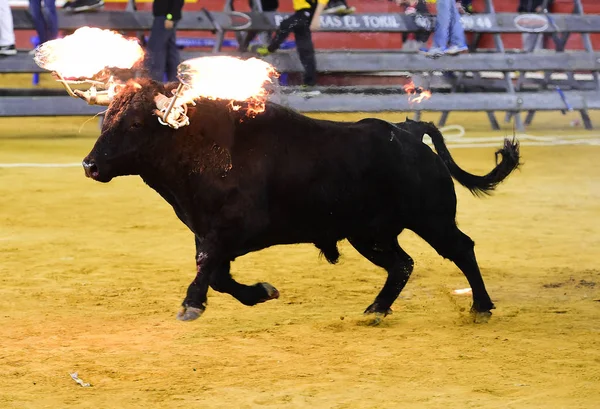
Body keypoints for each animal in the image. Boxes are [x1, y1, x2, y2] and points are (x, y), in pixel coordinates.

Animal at [81, 79, 520, 322]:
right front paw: (261, 292)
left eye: (135, 124)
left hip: (431, 219)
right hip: (369, 234)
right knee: (402, 264)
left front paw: (191, 304)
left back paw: (481, 307)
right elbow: (218, 275)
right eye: (106, 120)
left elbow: (208, 267)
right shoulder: (208, 232)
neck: (203, 150)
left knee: (461, 249)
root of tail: (407, 132)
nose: (89, 164)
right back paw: (376, 311)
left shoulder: (233, 229)